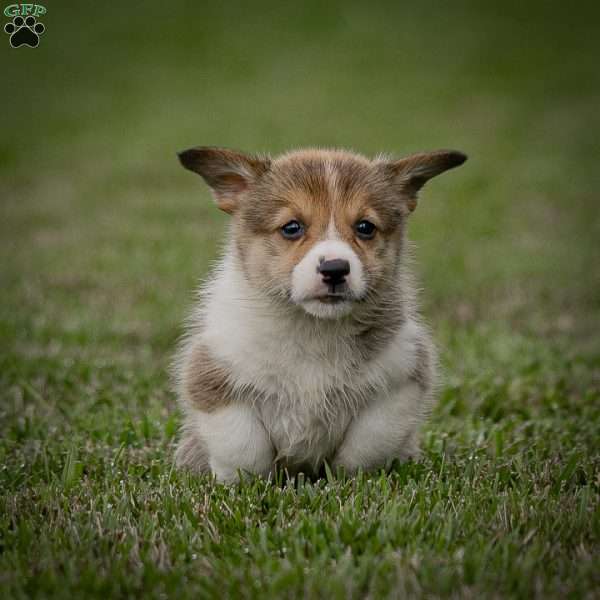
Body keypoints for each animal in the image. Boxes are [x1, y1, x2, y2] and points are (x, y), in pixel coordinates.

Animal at [171, 146, 466, 482]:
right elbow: (243, 447)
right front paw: (242, 484)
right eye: (292, 227)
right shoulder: (213, 380)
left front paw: (349, 479)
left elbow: (368, 443)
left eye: (365, 227)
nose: (335, 269)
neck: (313, 326)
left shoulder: (402, 378)